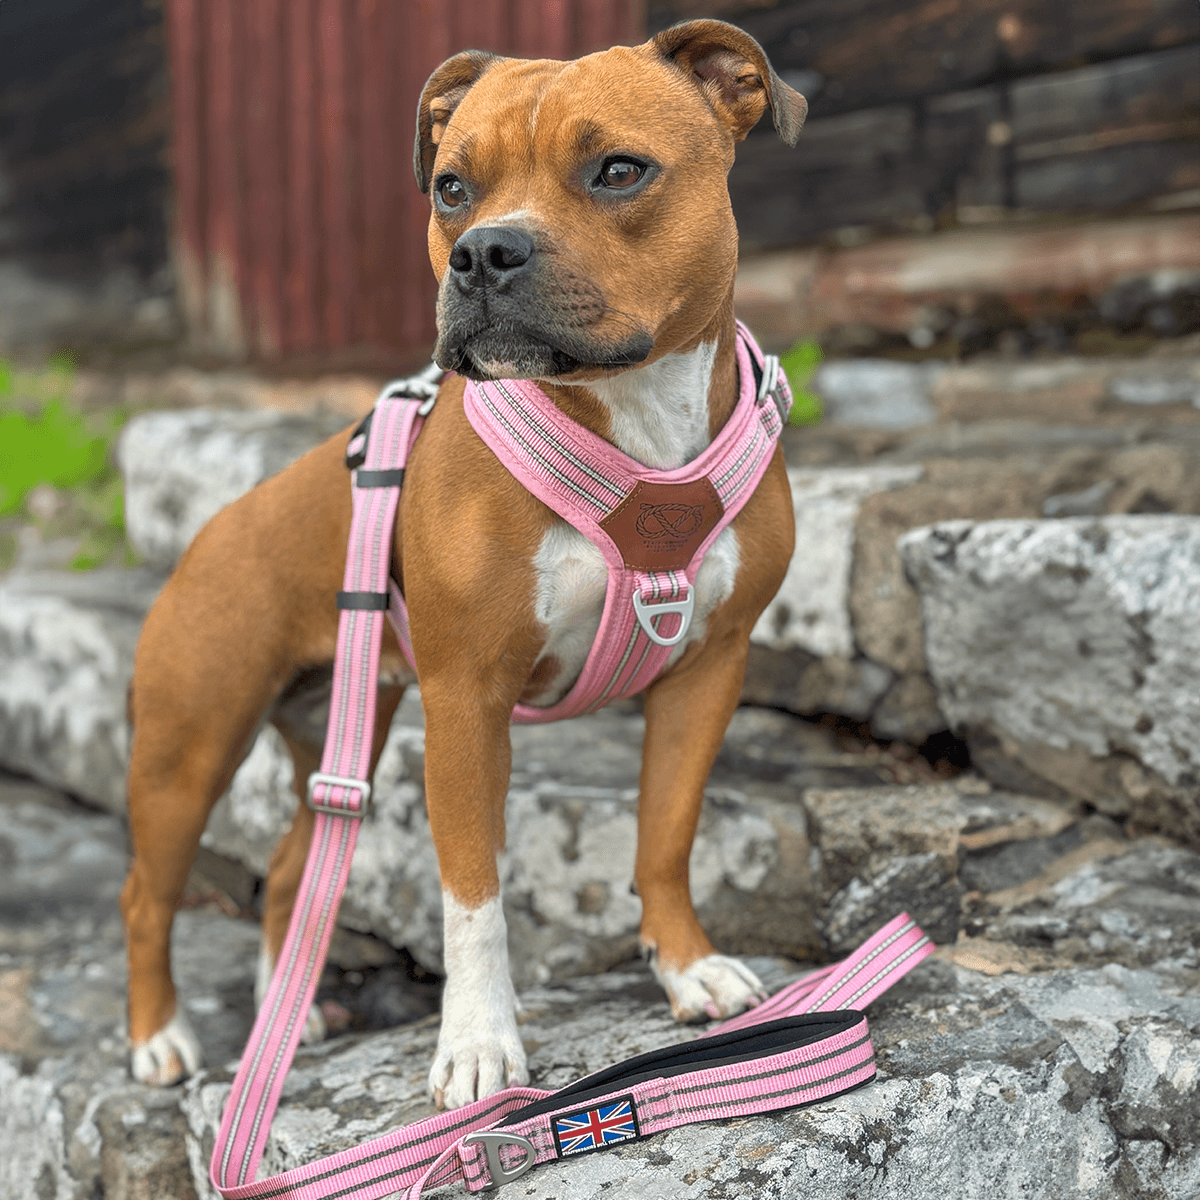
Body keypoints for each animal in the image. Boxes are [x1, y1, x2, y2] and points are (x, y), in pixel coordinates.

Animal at [121, 23, 806, 1113]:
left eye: (619, 171)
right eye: (451, 188)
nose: (487, 250)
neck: (633, 414)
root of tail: (215, 525)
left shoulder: (708, 672)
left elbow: (665, 835)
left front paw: (686, 967)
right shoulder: (467, 707)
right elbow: (473, 894)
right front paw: (480, 1045)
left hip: (344, 725)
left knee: (291, 867)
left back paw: (289, 1014)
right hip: (189, 749)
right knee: (147, 894)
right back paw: (160, 1038)